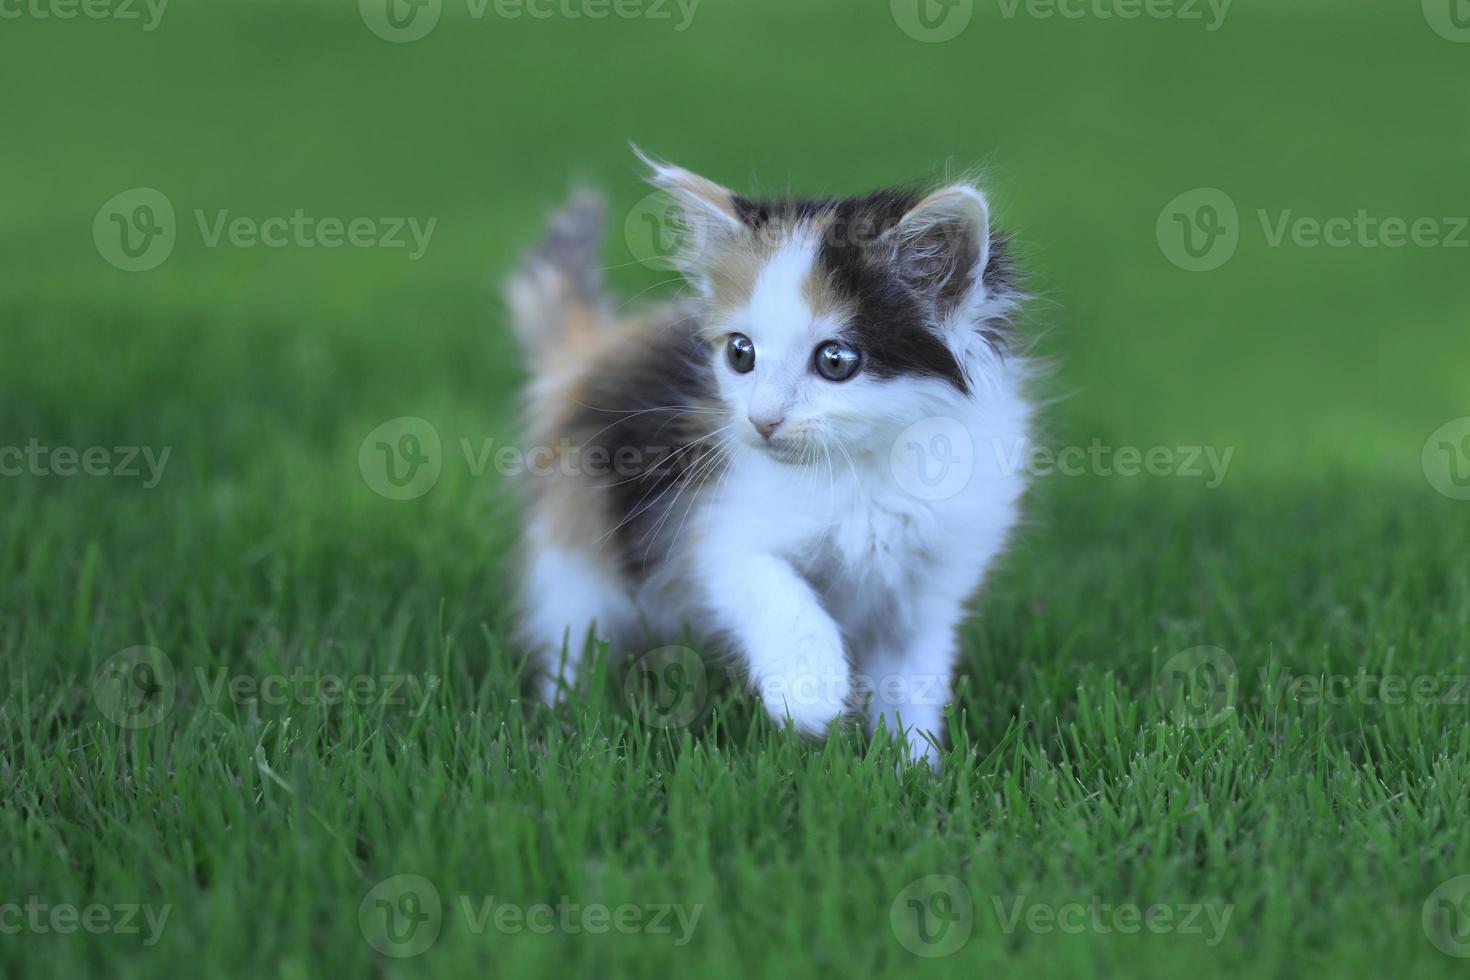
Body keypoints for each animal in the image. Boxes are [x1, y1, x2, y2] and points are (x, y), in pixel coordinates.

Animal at [505, 153, 1034, 764]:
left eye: (835, 360)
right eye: (741, 353)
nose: (761, 420)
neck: (866, 467)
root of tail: (593, 350)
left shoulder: (932, 583)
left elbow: (914, 678)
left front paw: (913, 766)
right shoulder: (711, 527)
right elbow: (771, 583)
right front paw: (810, 689)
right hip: (574, 537)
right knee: (572, 634)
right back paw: (562, 724)